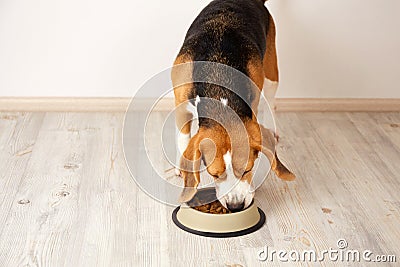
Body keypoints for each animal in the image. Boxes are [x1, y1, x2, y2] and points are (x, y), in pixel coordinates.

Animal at [171, 0, 294, 213]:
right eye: (214, 174)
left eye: (248, 169)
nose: (235, 206)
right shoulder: (181, 104)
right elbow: (184, 138)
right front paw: (183, 168)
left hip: (271, 73)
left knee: (271, 101)